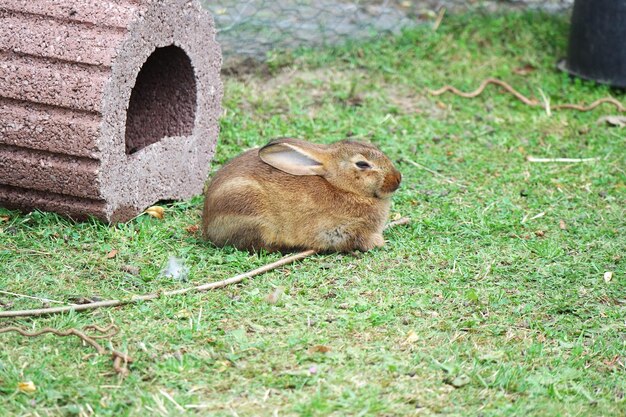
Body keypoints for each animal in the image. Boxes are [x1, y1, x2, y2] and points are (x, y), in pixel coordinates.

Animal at [202, 138, 402, 252]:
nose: (397, 179)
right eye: (362, 164)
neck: (340, 186)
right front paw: (377, 243)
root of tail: (207, 224)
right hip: (252, 213)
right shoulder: (335, 231)